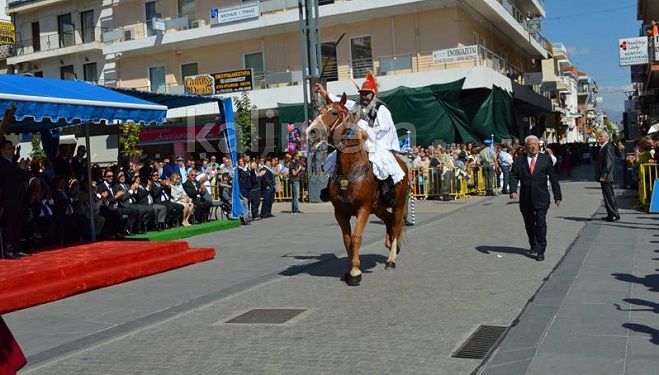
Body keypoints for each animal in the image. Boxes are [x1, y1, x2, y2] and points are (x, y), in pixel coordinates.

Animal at [308, 94, 410, 288]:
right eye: (319, 111)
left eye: (334, 113)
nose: (311, 131)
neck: (350, 172)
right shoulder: (341, 212)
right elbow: (347, 240)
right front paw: (350, 269)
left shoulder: (363, 209)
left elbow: (356, 238)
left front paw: (355, 272)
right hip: (378, 208)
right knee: (389, 221)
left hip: (399, 204)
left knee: (396, 225)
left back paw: (391, 259)